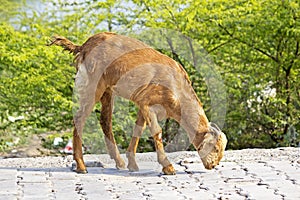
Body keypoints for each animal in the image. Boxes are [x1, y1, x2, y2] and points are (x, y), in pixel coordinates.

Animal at [48, 32, 227, 175]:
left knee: (105, 121)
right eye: (215, 148)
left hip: (107, 90)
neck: (176, 88)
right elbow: (157, 132)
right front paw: (168, 168)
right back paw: (81, 166)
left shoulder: (143, 104)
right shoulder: (148, 103)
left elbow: (138, 129)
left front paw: (133, 164)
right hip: (93, 85)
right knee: (79, 118)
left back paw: (119, 162)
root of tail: (84, 46)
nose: (213, 165)